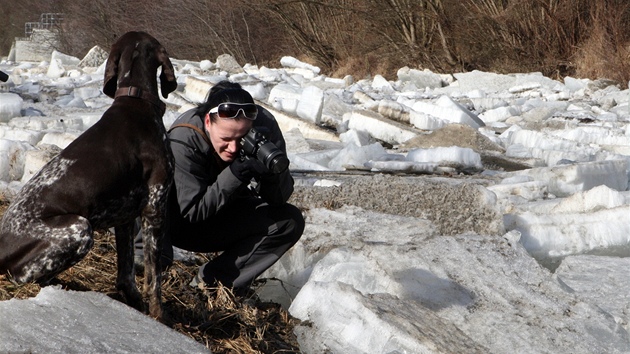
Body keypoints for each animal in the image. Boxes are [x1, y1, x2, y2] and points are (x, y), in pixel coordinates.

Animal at [0, 32, 178, 320]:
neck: (136, 99)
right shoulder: (154, 208)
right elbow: (154, 280)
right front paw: (158, 317)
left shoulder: (126, 219)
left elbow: (126, 277)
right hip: (80, 228)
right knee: (24, 277)